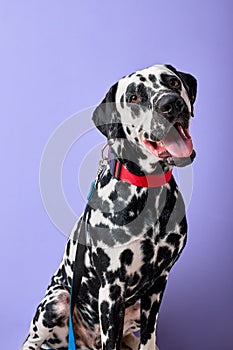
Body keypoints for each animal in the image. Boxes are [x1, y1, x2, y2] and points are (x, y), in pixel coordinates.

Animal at [21, 63, 197, 350]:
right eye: (134, 97)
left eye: (172, 82)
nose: (171, 104)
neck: (148, 193)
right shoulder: (112, 290)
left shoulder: (158, 284)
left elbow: (148, 338)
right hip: (56, 301)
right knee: (31, 339)